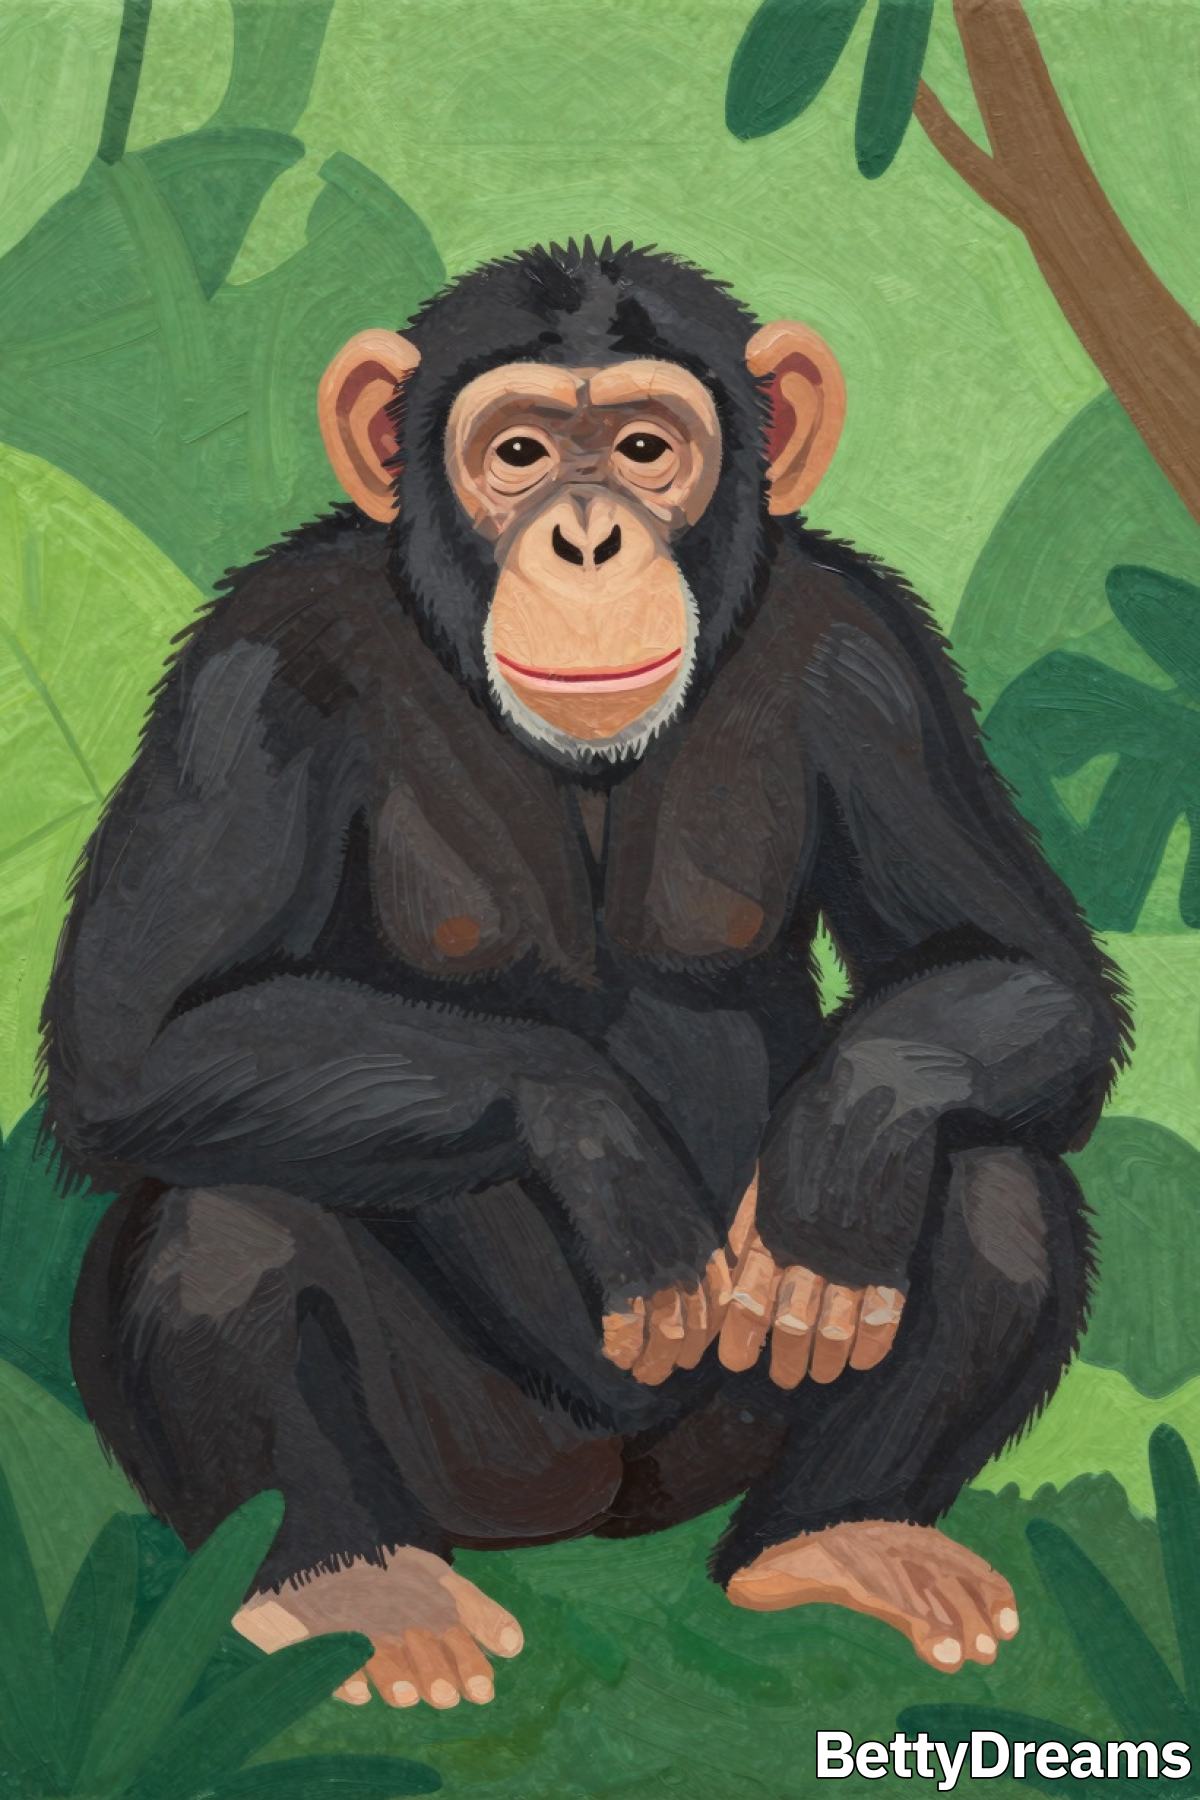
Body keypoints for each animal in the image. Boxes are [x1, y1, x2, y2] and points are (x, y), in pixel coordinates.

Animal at [44, 239, 1126, 1711]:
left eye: (644, 447)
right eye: (516, 452)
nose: (588, 536)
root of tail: (613, 1508)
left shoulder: (877, 659)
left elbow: (1025, 968)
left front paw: (843, 1150)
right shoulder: (252, 672)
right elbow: (135, 1038)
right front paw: (599, 1147)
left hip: (727, 1438)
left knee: (997, 1170)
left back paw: (840, 1534)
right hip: (485, 1464)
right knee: (223, 1211)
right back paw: (355, 1587)